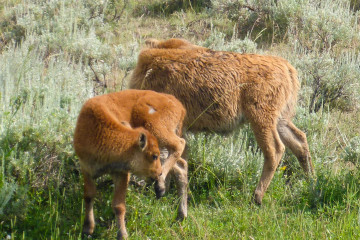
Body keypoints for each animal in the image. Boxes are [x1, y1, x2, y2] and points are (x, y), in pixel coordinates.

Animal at [73, 89, 186, 238]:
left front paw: (122, 235)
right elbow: (89, 196)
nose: (158, 172)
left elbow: (118, 205)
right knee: (181, 166)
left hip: (156, 128)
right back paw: (181, 215)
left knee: (179, 144)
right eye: (153, 156)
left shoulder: (121, 173)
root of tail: (176, 102)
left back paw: (160, 187)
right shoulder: (86, 168)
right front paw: (88, 229)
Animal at [130, 38, 316, 212]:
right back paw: (312, 183)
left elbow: (171, 156)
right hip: (280, 120)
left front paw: (163, 189)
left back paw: (257, 197)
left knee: (275, 150)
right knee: (299, 141)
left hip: (261, 119)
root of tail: (287, 67)